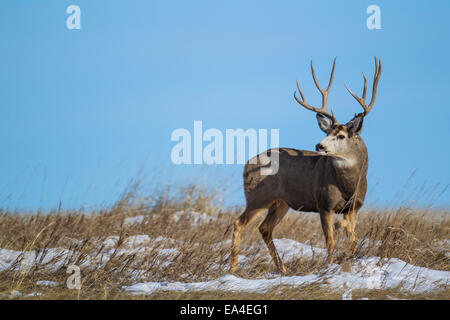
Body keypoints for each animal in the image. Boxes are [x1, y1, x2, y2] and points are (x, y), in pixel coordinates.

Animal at [230, 57, 382, 272]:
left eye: (341, 135)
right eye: (327, 132)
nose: (319, 145)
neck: (348, 185)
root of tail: (246, 164)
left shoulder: (354, 207)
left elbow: (352, 239)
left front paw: (351, 258)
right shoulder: (324, 203)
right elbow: (330, 241)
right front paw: (330, 265)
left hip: (281, 202)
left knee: (265, 228)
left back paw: (283, 269)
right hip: (259, 196)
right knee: (238, 223)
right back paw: (233, 269)